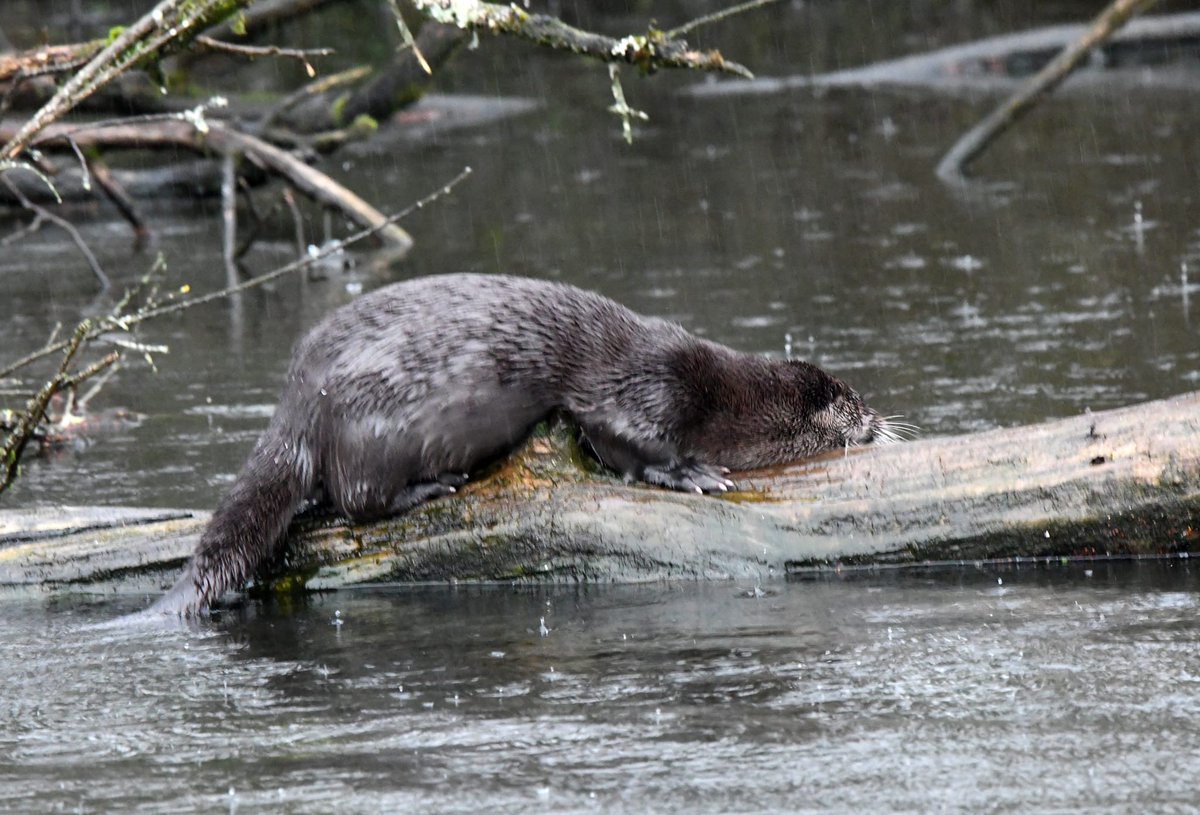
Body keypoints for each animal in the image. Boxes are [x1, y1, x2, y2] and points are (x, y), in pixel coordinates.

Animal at [147, 271, 892, 614]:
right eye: (854, 403)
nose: (880, 420)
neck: (723, 396)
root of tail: (297, 401)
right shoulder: (644, 392)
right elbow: (630, 447)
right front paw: (691, 474)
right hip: (369, 423)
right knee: (357, 499)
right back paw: (431, 484)